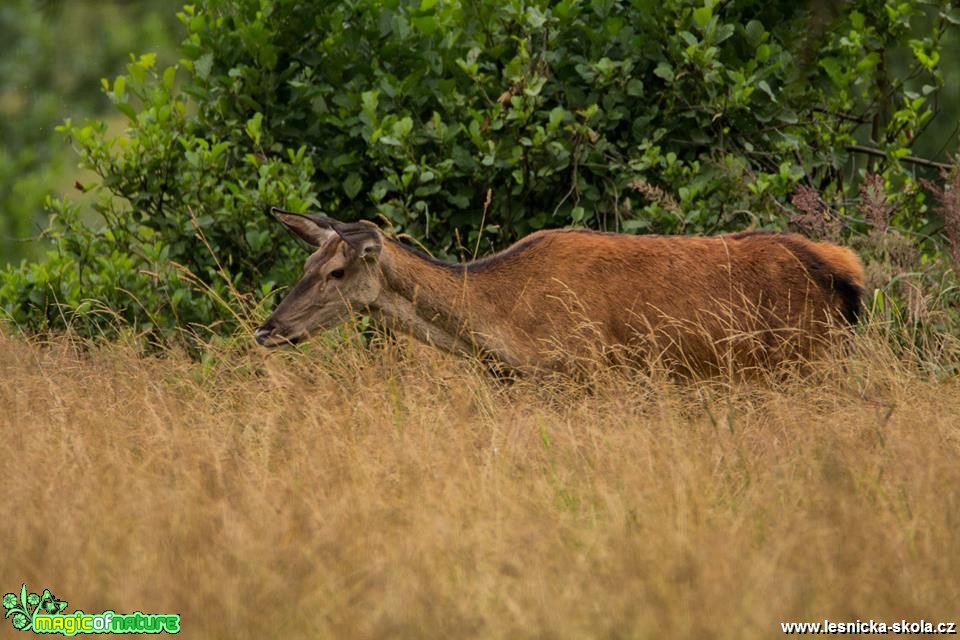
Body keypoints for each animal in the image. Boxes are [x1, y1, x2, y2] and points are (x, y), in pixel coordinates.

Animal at [253, 208, 864, 372]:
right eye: (307, 260)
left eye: (336, 272)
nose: (267, 330)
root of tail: (846, 276)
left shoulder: (585, 370)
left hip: (804, 360)